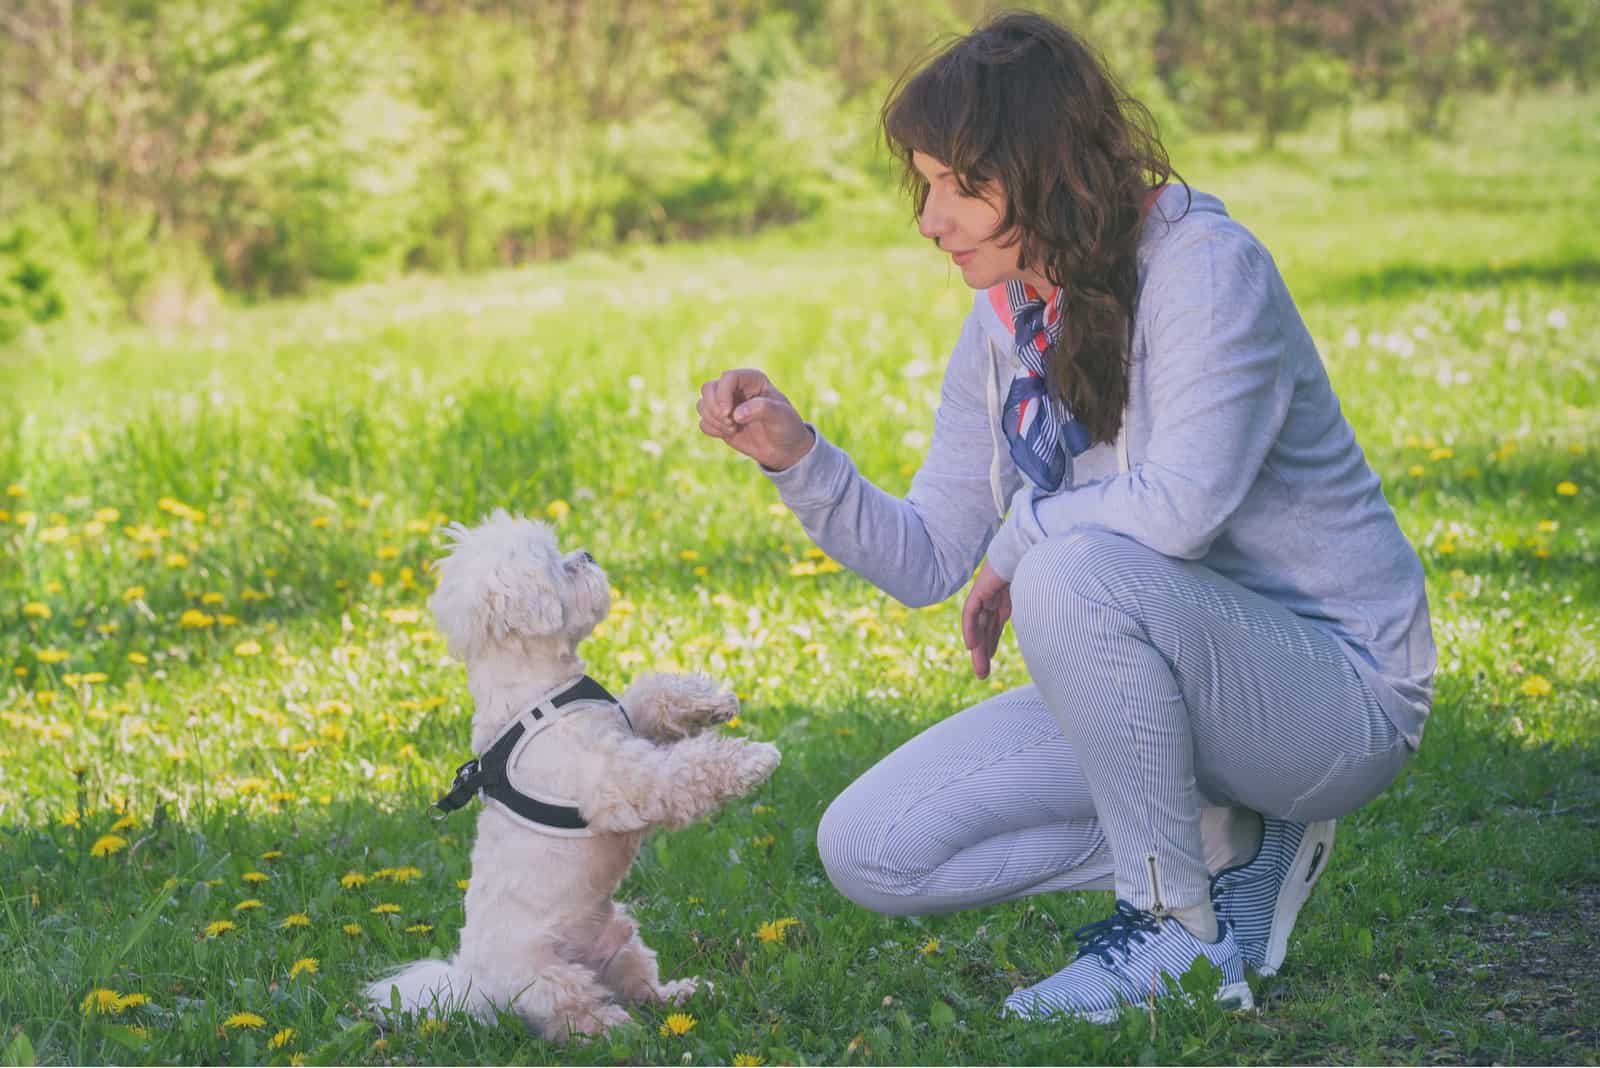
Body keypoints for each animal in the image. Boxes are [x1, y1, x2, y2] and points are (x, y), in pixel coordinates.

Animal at [368, 511, 780, 1036]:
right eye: (557, 565)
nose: (586, 555)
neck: (539, 692)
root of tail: (474, 986)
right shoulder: (621, 779)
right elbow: (684, 771)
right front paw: (754, 759)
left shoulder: (626, 723)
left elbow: (651, 695)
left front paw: (711, 701)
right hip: (551, 979)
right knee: (576, 1016)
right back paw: (616, 1029)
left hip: (620, 939)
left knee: (643, 988)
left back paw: (683, 995)